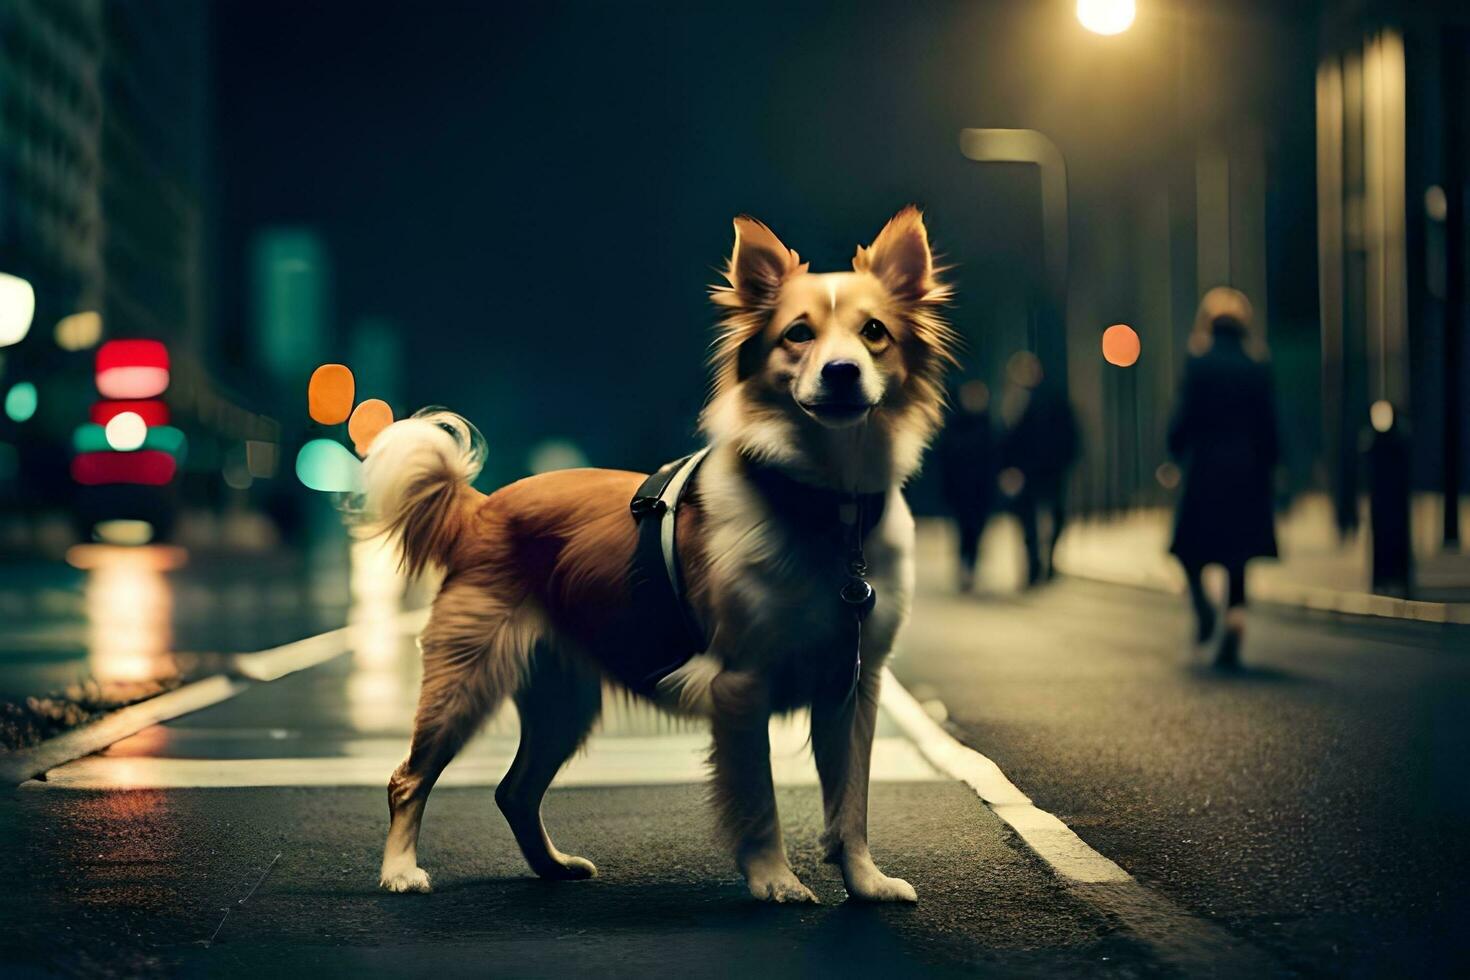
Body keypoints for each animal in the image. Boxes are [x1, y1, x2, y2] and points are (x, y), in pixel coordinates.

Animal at [364, 207, 952, 905]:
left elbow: (850, 802)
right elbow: (760, 801)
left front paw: (865, 882)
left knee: (515, 792)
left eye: (874, 333)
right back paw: (400, 871)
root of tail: (482, 506)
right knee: (408, 780)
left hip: (563, 702)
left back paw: (552, 867)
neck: (824, 505)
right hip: (466, 681)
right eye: (798, 335)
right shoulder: (741, 684)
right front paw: (774, 880)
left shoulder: (852, 686)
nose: (842, 371)